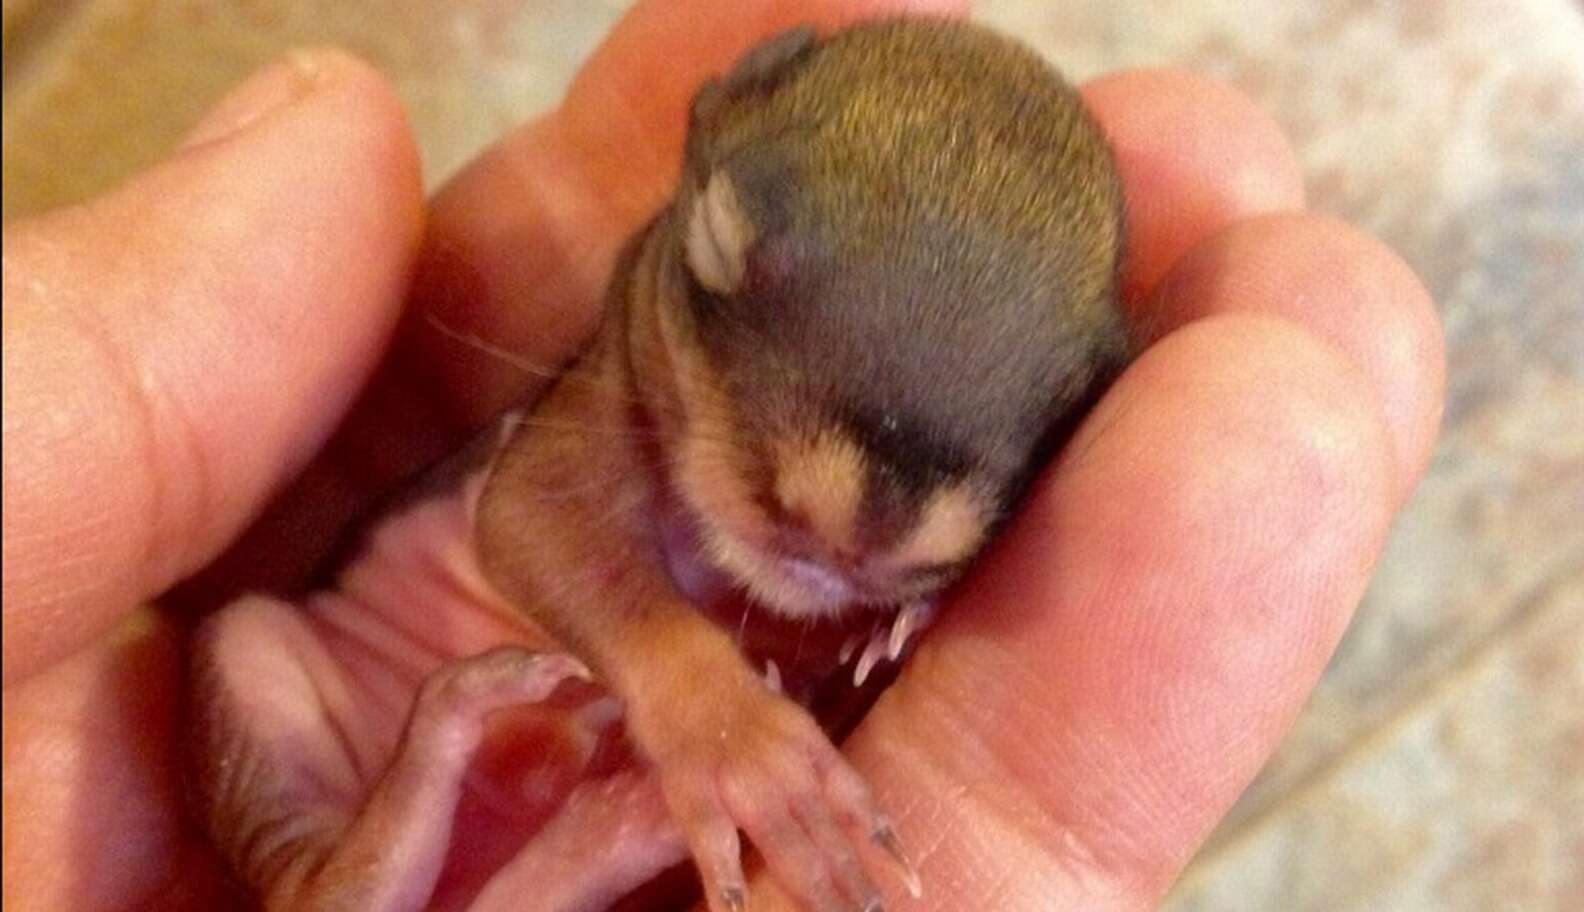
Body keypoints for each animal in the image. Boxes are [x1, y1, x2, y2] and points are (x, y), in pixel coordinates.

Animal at [185, 16, 1127, 912]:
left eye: (1078, 392)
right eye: (714, 239)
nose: (855, 531)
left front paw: (905, 619)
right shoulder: (574, 425)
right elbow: (539, 533)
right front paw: (743, 748)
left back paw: (612, 824)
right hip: (248, 665)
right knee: (324, 891)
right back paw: (449, 729)